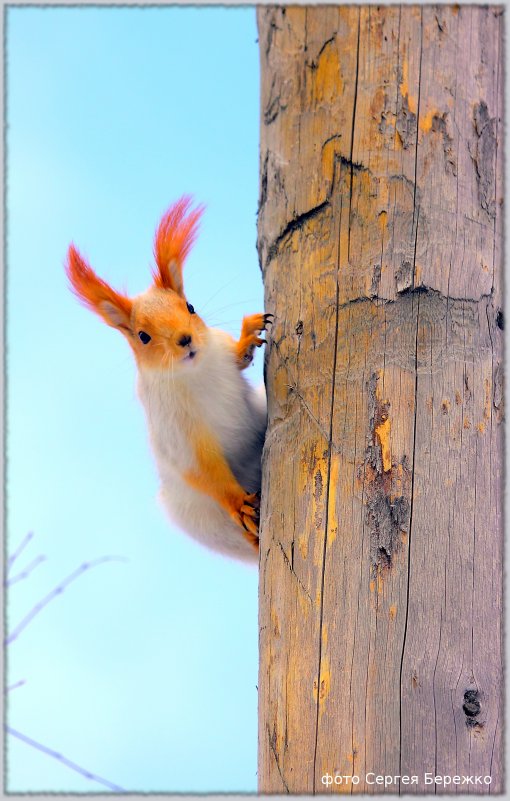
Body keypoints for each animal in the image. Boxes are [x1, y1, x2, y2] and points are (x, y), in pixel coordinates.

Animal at [65, 198, 270, 564]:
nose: (185, 339)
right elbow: (202, 470)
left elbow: (237, 358)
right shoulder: (177, 431)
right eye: (143, 336)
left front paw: (249, 335)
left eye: (190, 306)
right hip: (202, 518)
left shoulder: (217, 349)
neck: (195, 371)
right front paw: (238, 502)